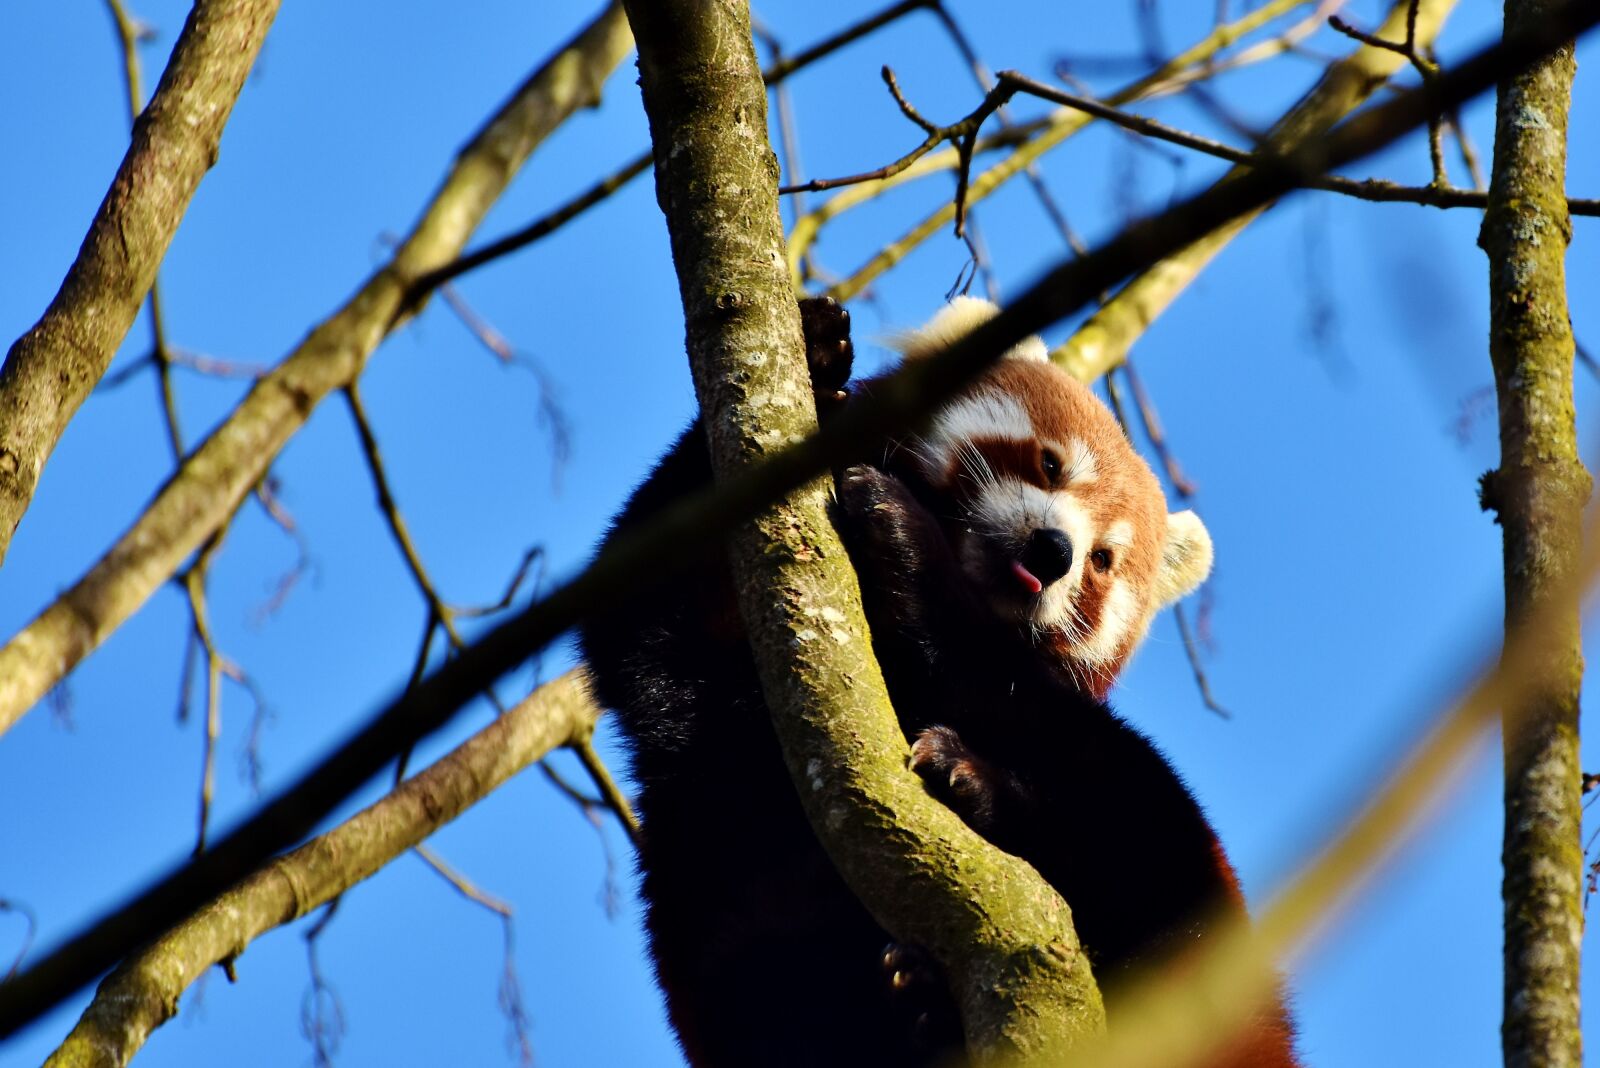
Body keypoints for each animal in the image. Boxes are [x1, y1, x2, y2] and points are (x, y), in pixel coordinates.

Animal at [578, 296, 1299, 1068]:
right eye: (1050, 464)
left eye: (1103, 561)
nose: (1055, 551)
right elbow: (642, 605)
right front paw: (814, 349)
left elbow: (981, 666)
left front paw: (910, 548)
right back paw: (921, 1008)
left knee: (1138, 815)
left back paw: (976, 792)